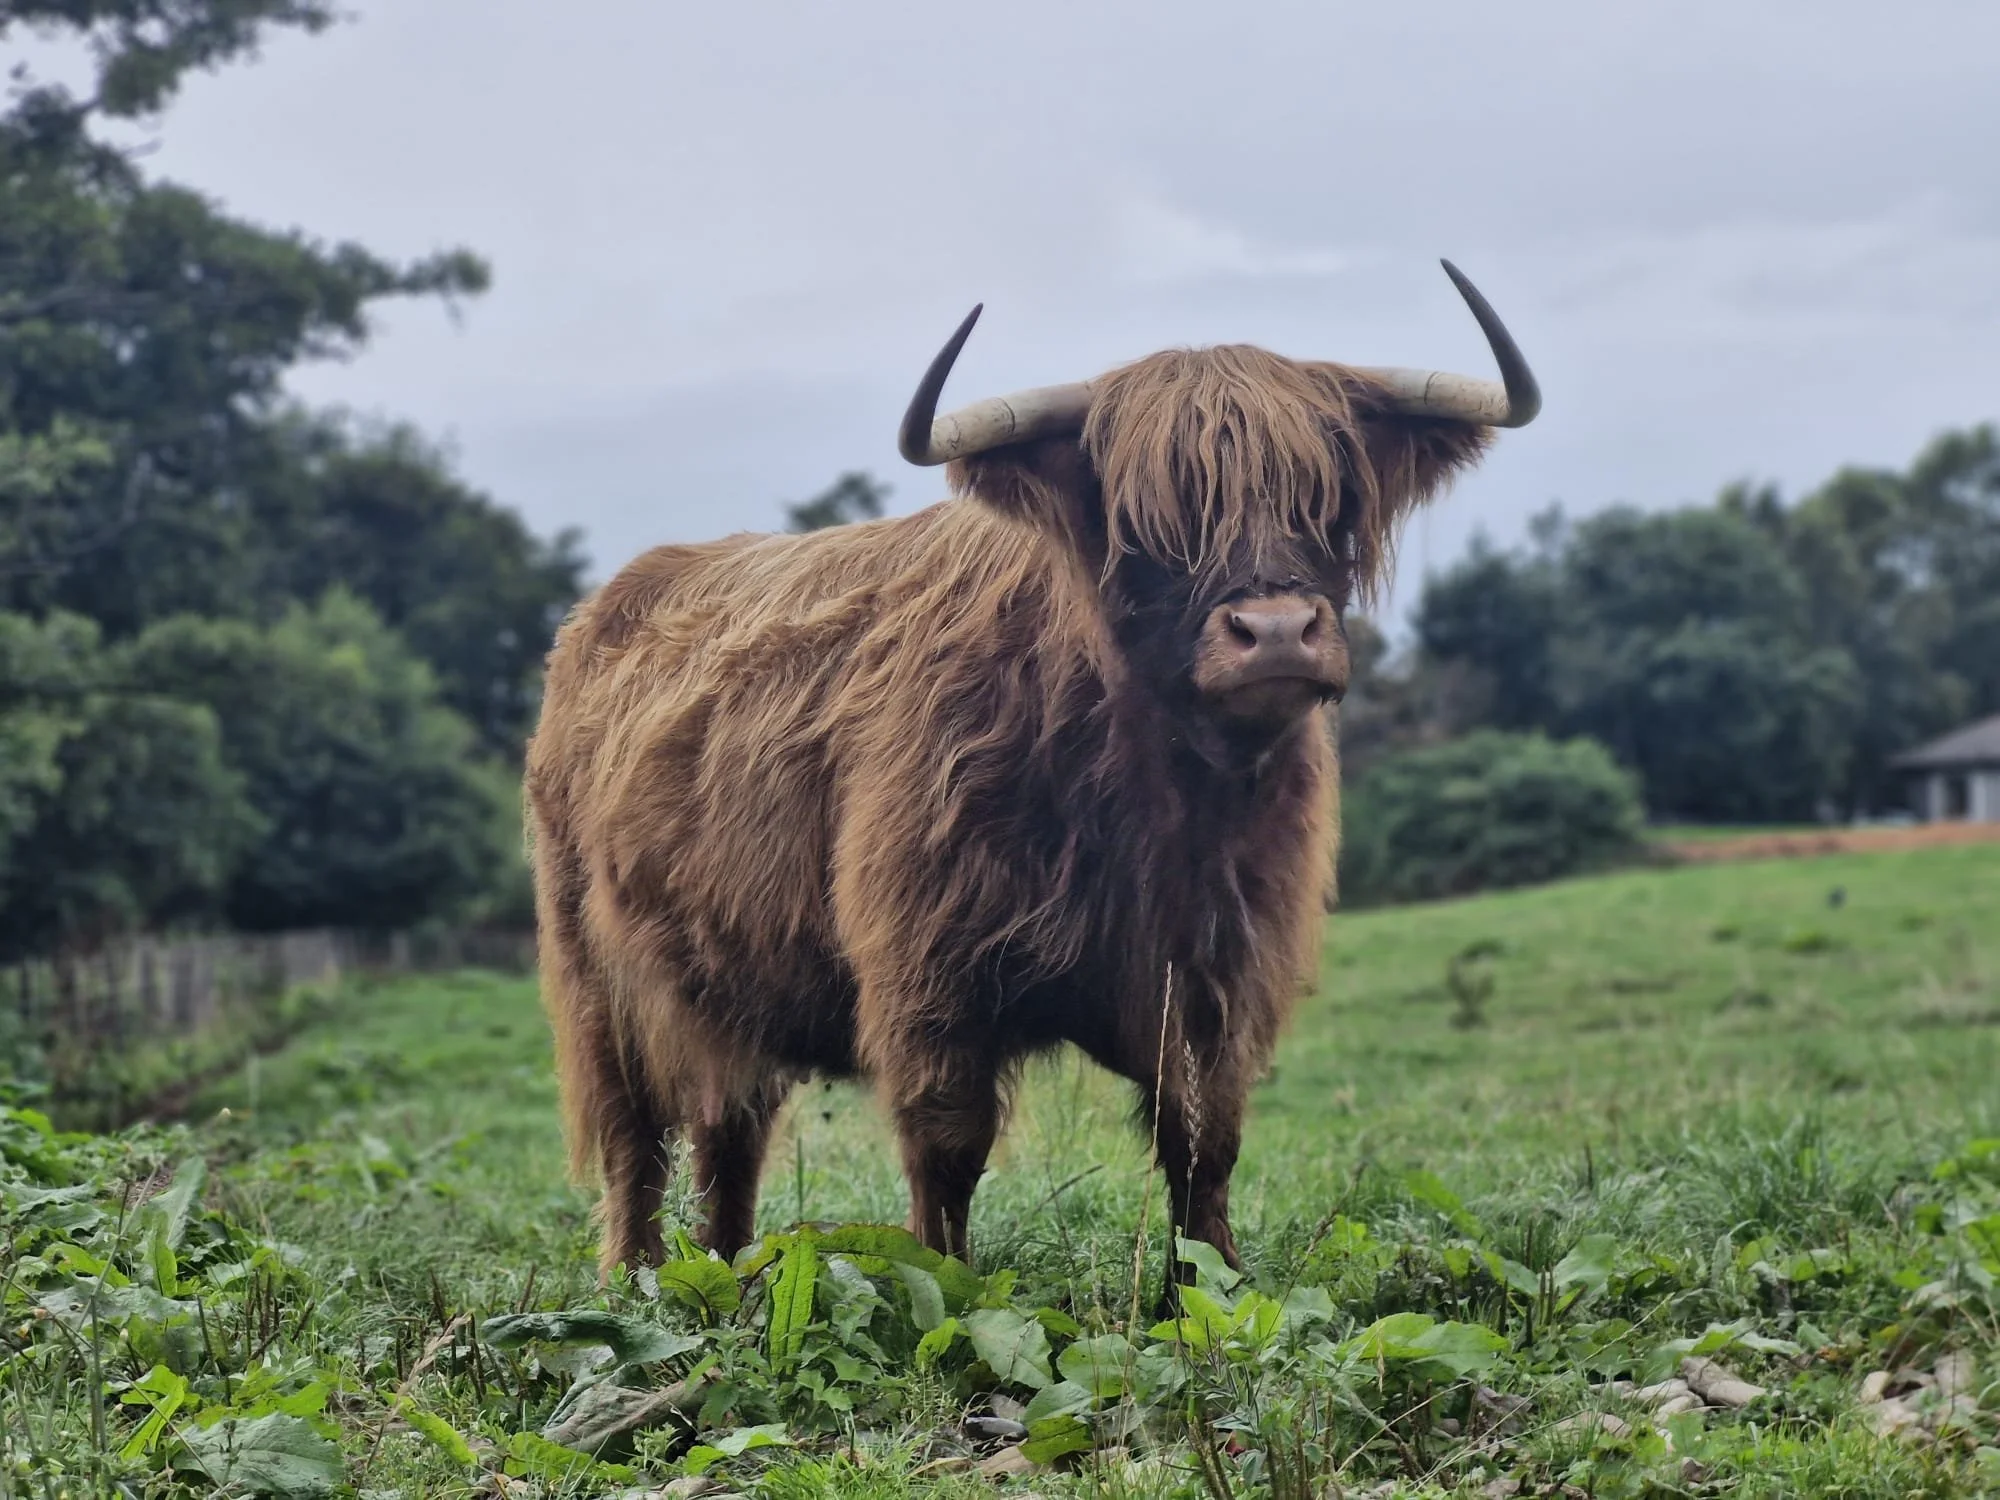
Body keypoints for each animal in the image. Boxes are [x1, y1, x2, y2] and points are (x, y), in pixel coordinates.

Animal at [524, 261, 1540, 1283]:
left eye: (1329, 499)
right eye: (1148, 519)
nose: (1278, 631)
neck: (1158, 793)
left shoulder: (1220, 975)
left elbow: (1203, 1142)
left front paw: (1207, 1283)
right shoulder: (931, 975)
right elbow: (948, 1149)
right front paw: (945, 1281)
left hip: (733, 992)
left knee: (727, 1130)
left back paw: (726, 1273)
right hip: (598, 978)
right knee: (634, 1134)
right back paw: (633, 1279)